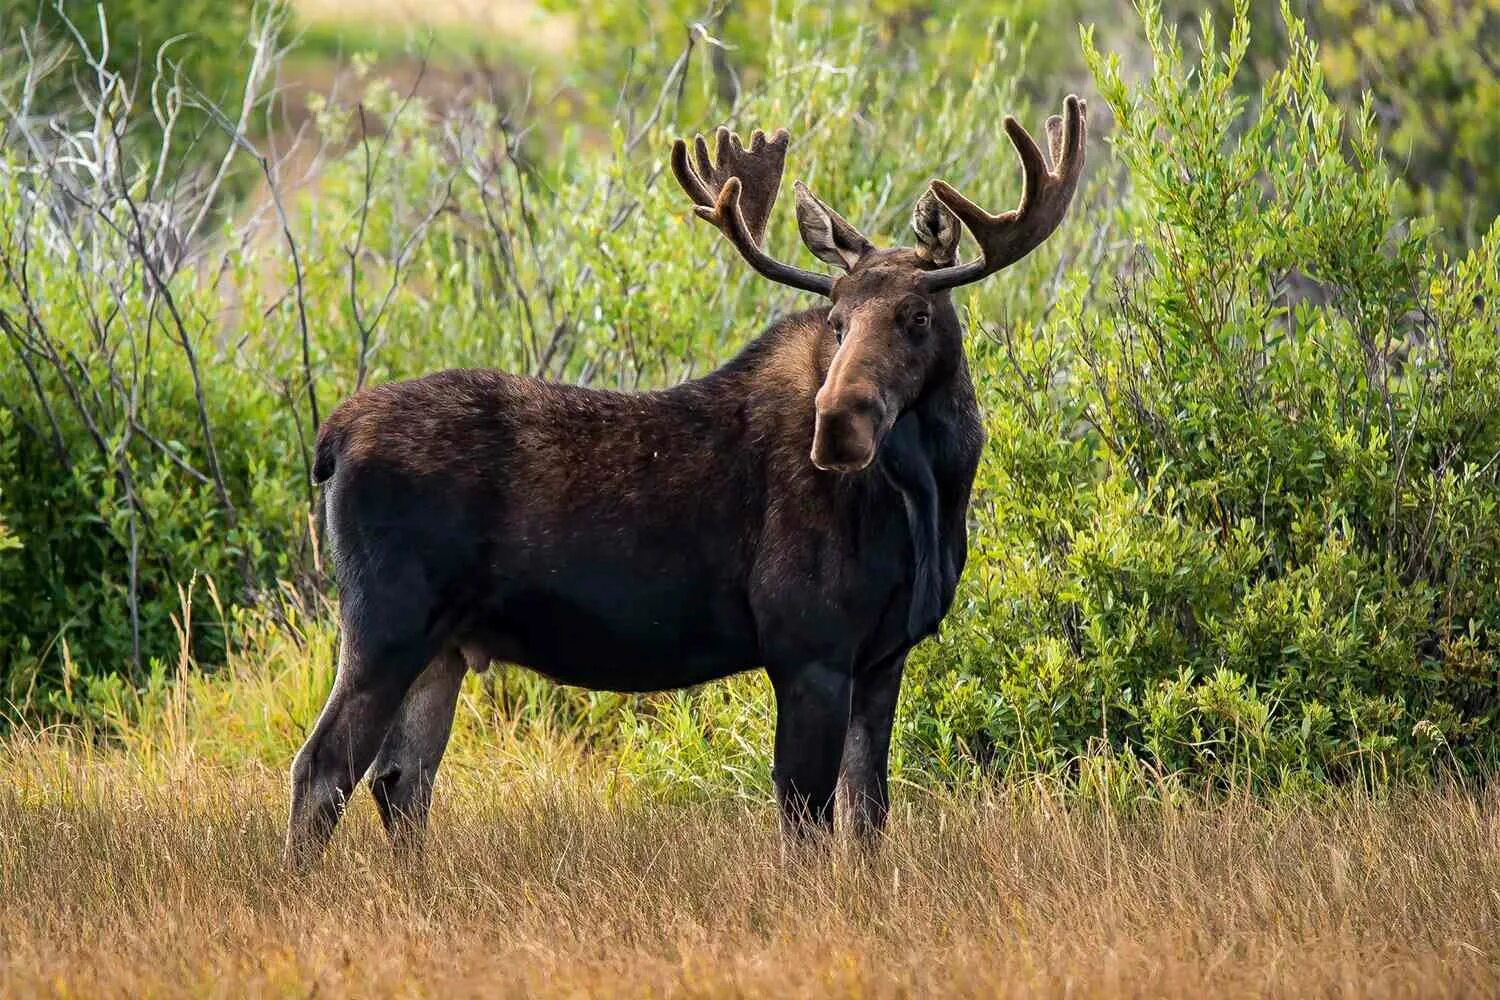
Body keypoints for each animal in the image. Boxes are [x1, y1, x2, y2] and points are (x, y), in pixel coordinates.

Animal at [285, 96, 1087, 863]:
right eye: (836, 319)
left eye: (917, 315)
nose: (837, 425)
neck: (930, 495)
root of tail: (331, 439)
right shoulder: (808, 650)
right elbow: (806, 822)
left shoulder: (884, 657)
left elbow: (868, 818)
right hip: (385, 624)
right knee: (324, 767)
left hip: (444, 645)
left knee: (400, 778)